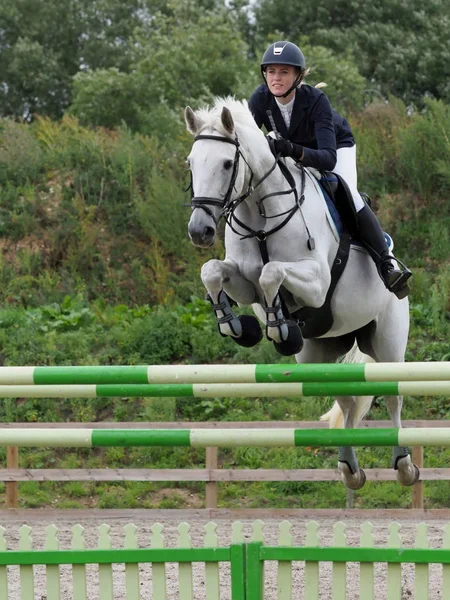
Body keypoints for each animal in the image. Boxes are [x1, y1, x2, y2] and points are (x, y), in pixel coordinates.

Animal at [184, 98, 418, 490]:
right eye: (190, 162)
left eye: (227, 163)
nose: (199, 231)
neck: (259, 213)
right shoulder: (243, 281)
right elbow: (214, 271)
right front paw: (239, 327)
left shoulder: (317, 282)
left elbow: (272, 272)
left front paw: (278, 328)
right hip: (318, 353)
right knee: (346, 402)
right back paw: (349, 469)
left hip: (387, 343)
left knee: (392, 398)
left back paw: (403, 465)